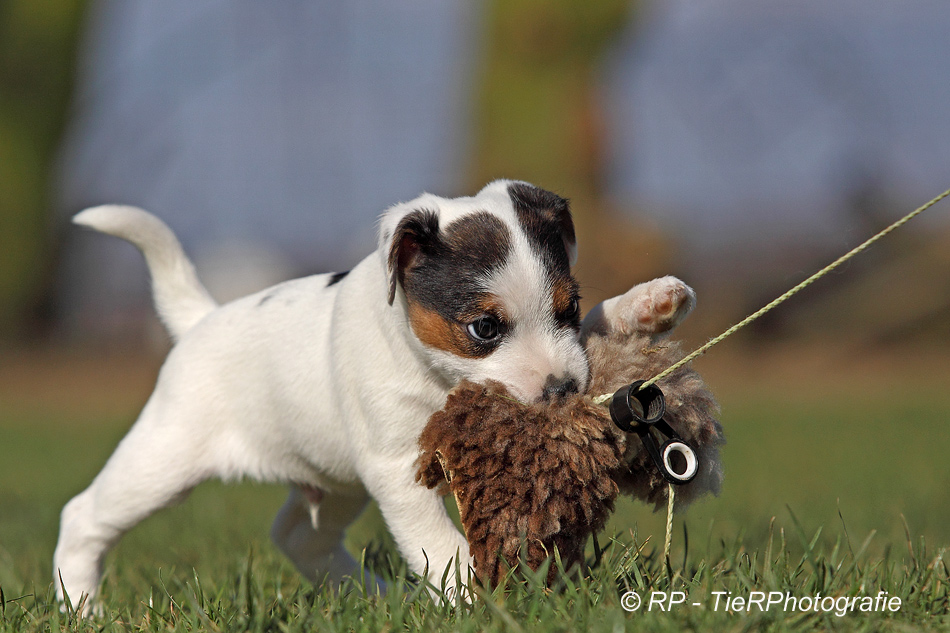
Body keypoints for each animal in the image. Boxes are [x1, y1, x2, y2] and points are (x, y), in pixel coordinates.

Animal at [52, 178, 696, 608]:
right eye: (484, 329)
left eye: (570, 308)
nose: (564, 389)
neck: (432, 372)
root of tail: (201, 321)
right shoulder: (394, 467)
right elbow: (438, 542)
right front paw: (477, 600)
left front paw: (648, 303)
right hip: (163, 461)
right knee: (83, 516)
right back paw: (82, 609)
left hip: (334, 482)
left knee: (298, 537)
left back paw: (377, 599)